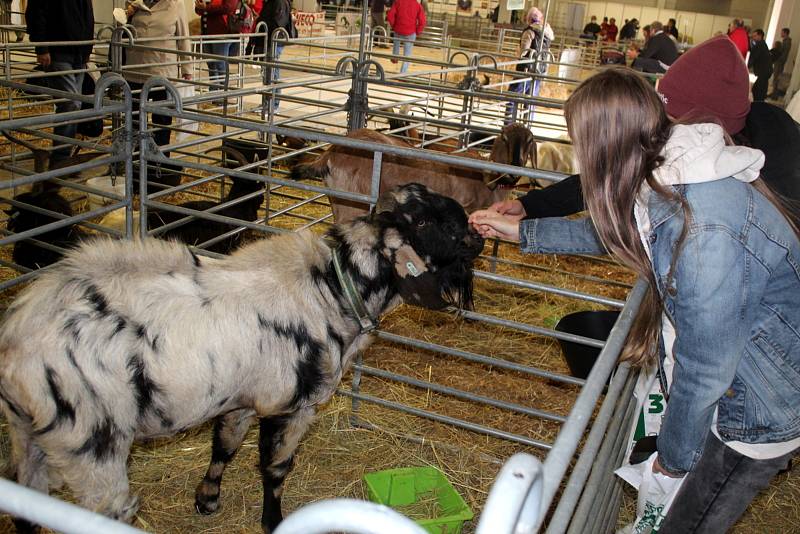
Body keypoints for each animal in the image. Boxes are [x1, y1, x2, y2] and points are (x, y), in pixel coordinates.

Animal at [0, 182, 484, 532]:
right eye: (433, 223)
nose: (479, 236)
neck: (332, 290)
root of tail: (17, 345)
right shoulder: (291, 404)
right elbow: (275, 467)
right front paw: (274, 520)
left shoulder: (242, 398)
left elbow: (225, 446)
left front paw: (208, 499)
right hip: (90, 445)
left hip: (26, 435)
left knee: (27, 508)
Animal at [290, 124, 536, 224]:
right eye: (504, 138)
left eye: (530, 141)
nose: (514, 172)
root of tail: (330, 153)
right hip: (353, 202)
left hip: (338, 200)